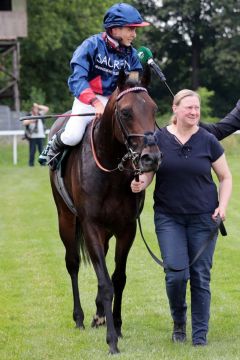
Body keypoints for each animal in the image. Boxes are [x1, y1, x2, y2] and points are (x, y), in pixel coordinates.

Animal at [48, 66, 161, 352]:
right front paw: (112, 341)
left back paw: (99, 314)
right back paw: (79, 317)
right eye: (126, 112)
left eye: (154, 109)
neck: (110, 169)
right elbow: (105, 282)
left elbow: (117, 278)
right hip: (66, 219)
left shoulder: (126, 228)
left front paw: (117, 326)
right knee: (73, 263)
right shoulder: (91, 225)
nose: (151, 157)